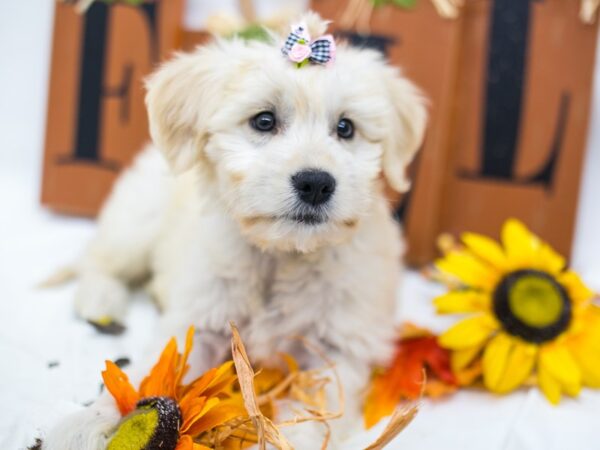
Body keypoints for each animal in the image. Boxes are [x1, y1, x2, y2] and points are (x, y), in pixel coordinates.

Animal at [45, 13, 426, 450]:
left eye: (346, 128)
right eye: (264, 121)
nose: (316, 183)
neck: (281, 253)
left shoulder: (336, 350)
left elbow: (313, 413)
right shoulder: (198, 322)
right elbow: (148, 373)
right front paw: (88, 421)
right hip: (137, 220)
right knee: (98, 259)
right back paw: (101, 300)